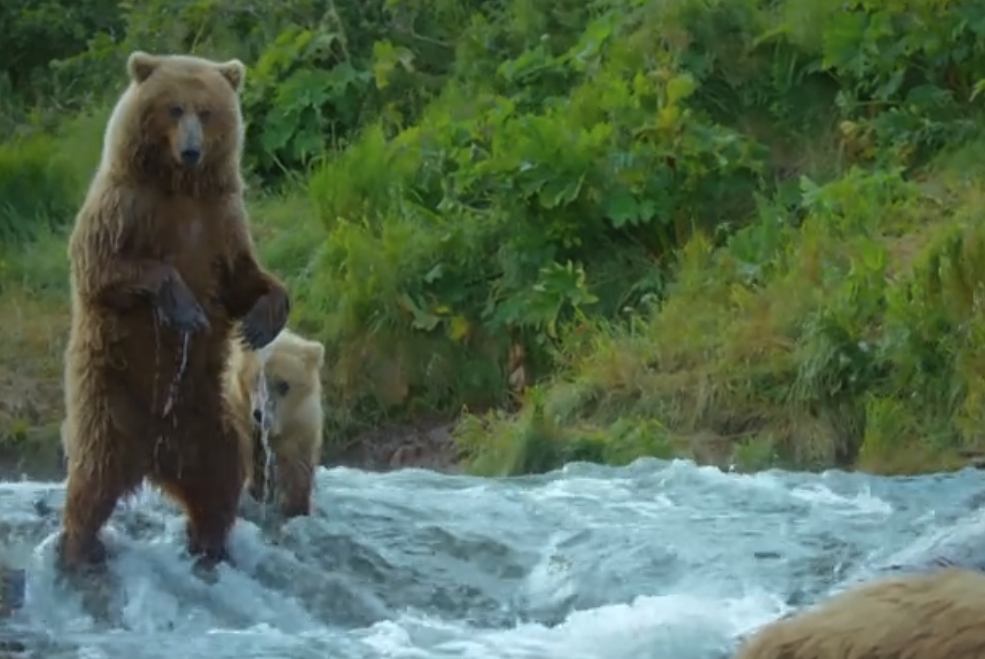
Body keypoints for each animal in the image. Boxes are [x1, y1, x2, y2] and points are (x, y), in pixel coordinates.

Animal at [60, 51, 290, 576]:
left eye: (207, 112)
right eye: (174, 108)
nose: (191, 150)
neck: (181, 186)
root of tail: (153, 456)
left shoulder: (221, 219)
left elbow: (243, 279)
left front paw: (261, 320)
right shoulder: (125, 207)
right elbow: (105, 266)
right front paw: (185, 309)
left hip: (204, 416)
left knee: (221, 474)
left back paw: (209, 545)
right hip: (111, 397)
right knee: (94, 475)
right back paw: (80, 549)